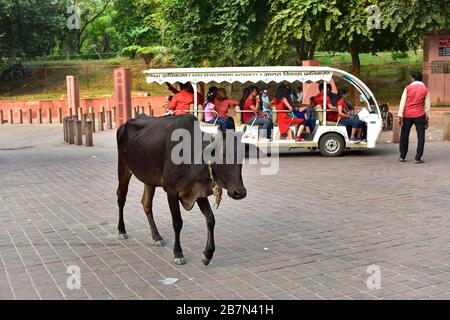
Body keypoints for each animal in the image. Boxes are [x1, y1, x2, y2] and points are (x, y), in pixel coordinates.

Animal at [116, 114, 248, 264]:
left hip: (149, 178)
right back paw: (122, 230)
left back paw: (157, 237)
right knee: (121, 198)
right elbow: (177, 222)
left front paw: (207, 254)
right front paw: (178, 253)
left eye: (242, 156)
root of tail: (124, 125)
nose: (239, 192)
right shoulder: (171, 191)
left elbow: (210, 219)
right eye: (223, 154)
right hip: (123, 168)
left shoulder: (198, 190)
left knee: (146, 204)